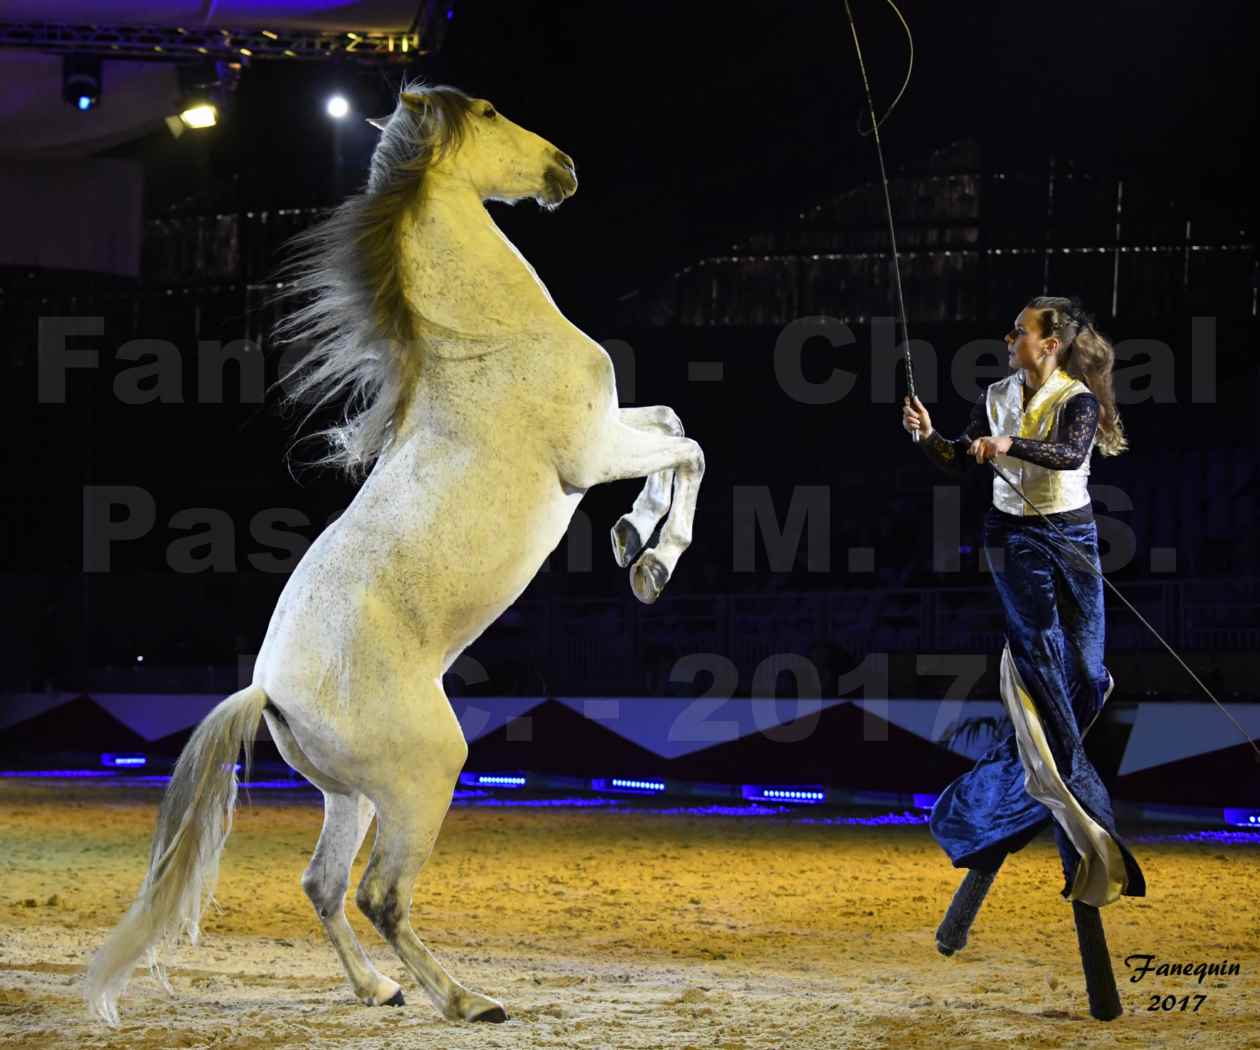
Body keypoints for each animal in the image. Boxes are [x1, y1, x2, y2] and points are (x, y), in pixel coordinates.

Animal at [85, 81, 705, 1023]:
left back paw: (381, 990)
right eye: (488, 113)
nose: (564, 168)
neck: (484, 343)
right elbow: (689, 447)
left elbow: (671, 423)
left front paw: (635, 541)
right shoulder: (590, 454)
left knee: (322, 884)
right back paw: (468, 1000)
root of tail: (270, 690)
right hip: (424, 777)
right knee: (380, 893)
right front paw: (652, 557)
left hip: (352, 796)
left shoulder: (609, 433)